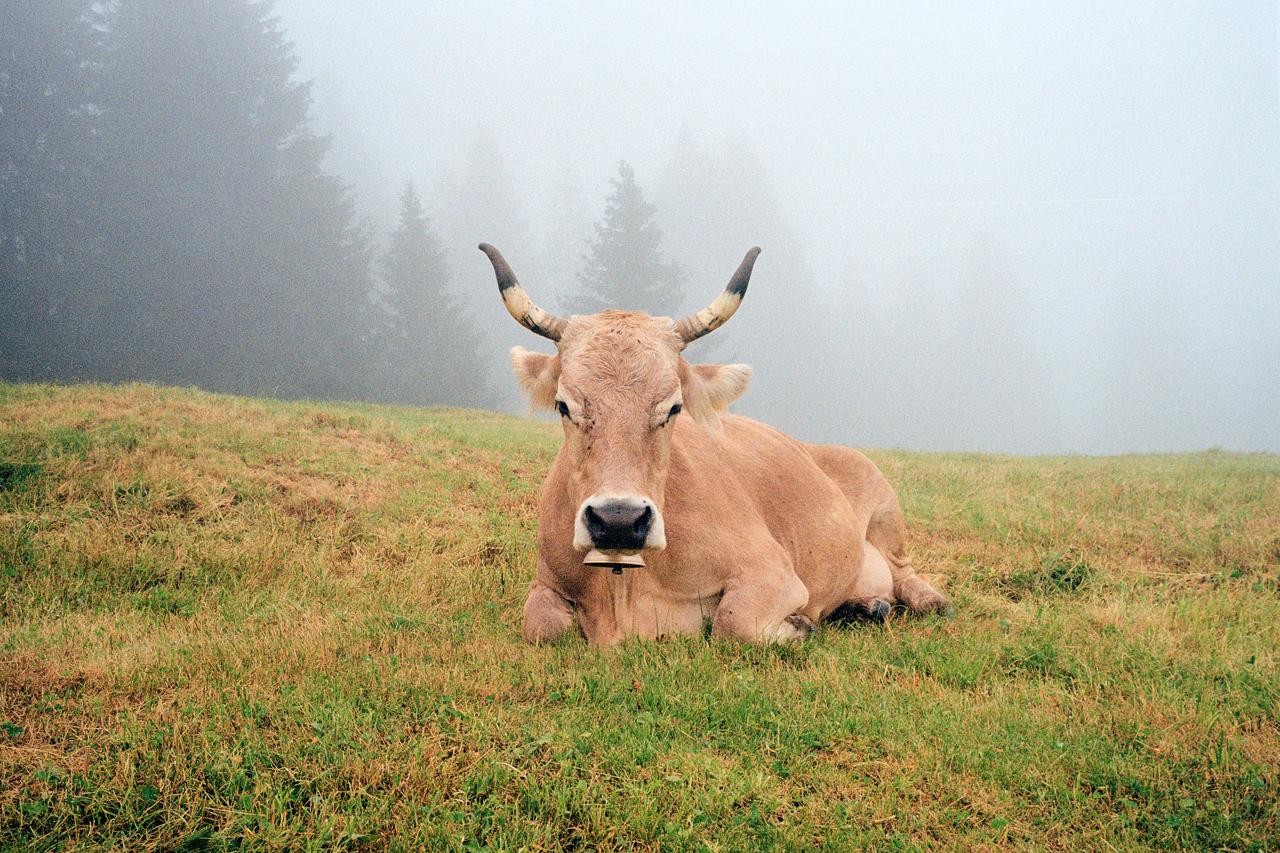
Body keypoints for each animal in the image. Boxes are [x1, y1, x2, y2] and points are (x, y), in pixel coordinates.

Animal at [480, 243, 950, 644]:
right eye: (564, 406)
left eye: (673, 408)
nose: (618, 520)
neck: (623, 590)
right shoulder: (545, 581)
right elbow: (542, 626)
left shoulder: (771, 569)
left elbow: (733, 622)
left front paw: (799, 625)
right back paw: (865, 606)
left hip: (884, 503)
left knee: (904, 572)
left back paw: (925, 601)